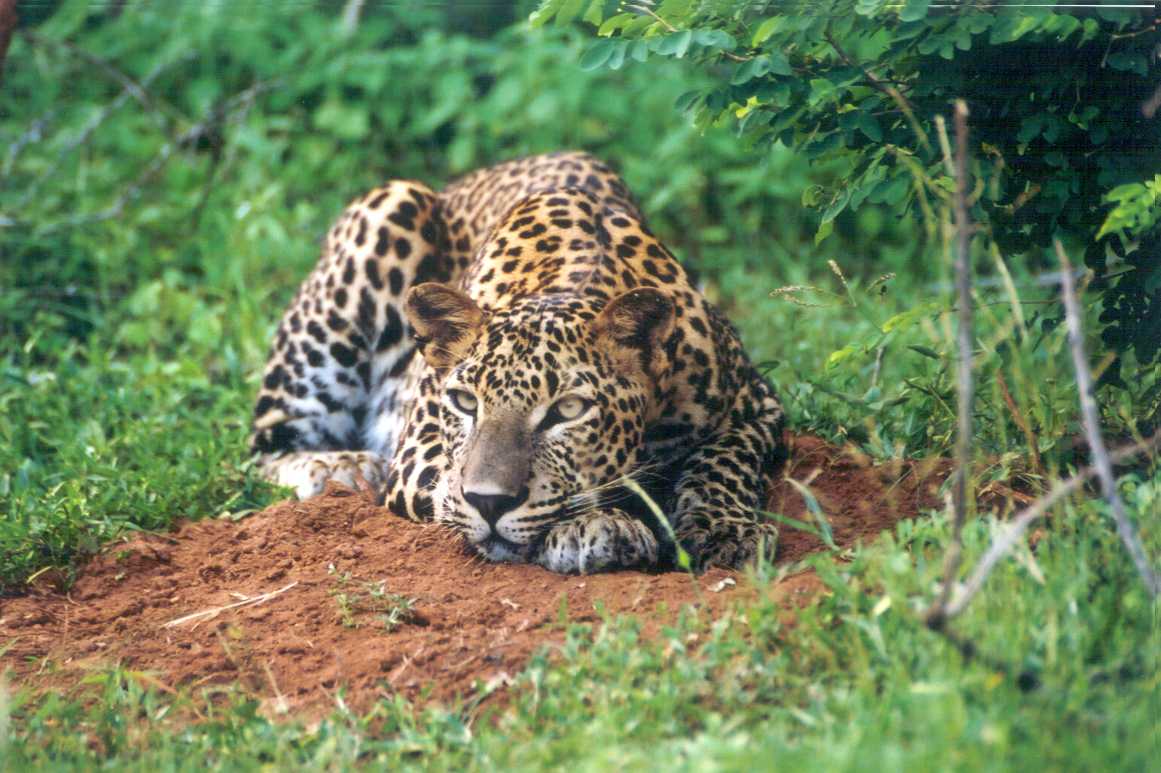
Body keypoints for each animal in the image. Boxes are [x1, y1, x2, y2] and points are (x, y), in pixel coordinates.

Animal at [250, 151, 786, 573]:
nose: (490, 503)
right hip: (385, 213)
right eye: (465, 402)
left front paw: (726, 530)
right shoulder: (417, 452)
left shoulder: (757, 405)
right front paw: (595, 527)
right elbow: (451, 484)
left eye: (568, 410)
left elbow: (723, 461)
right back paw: (341, 467)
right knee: (266, 446)